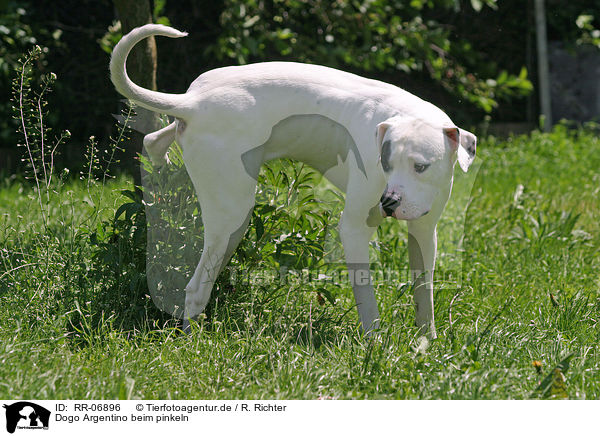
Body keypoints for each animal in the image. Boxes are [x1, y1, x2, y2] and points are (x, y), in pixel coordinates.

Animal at [110, 23, 476, 338]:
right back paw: (192, 338)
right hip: (232, 216)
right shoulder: (355, 229)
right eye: (385, 164)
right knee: (196, 286)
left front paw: (426, 342)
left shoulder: (425, 232)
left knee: (154, 141)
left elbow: (424, 291)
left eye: (421, 166)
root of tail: (193, 103)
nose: (389, 202)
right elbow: (367, 295)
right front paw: (375, 343)